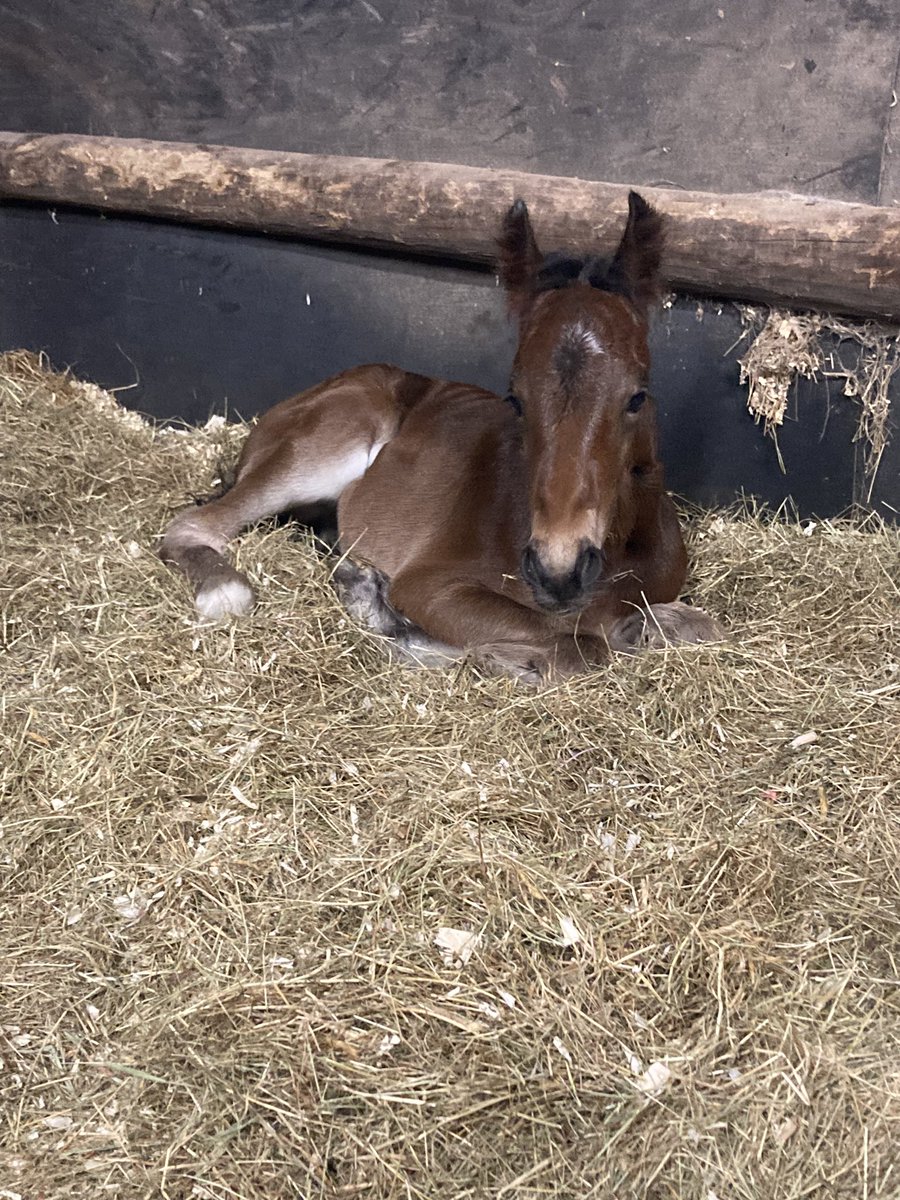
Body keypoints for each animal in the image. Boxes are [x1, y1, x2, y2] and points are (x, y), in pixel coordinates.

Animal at [159, 192, 721, 682]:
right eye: (515, 398)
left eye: (637, 397)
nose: (558, 570)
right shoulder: (431, 585)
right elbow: (577, 645)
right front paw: (414, 631)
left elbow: (689, 626)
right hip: (325, 447)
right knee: (195, 525)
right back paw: (230, 588)